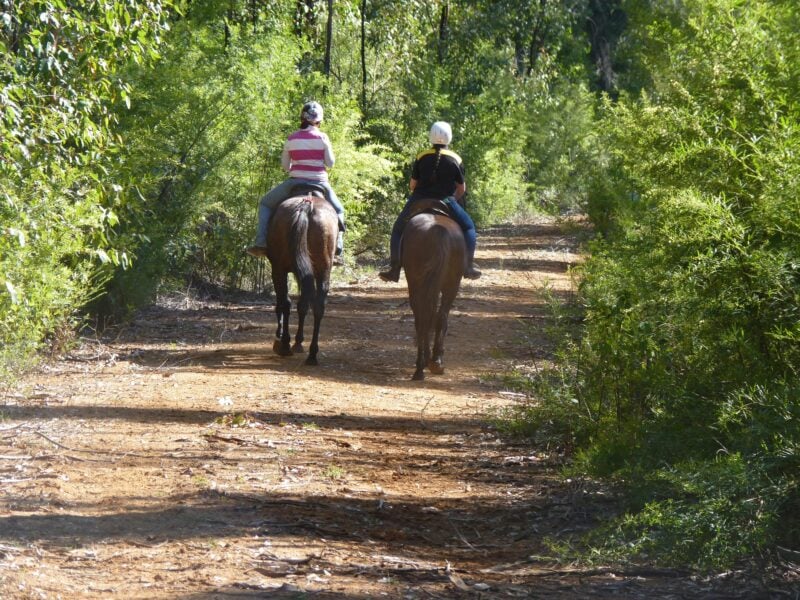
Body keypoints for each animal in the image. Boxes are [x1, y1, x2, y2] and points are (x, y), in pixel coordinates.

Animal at [266, 189, 338, 366]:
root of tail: (307, 205)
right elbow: (303, 304)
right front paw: (298, 342)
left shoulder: (279, 270)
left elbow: (289, 303)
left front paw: (290, 340)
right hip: (323, 269)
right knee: (318, 306)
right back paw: (312, 354)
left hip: (279, 269)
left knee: (286, 302)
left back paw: (286, 344)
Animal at [401, 200, 467, 380]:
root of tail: (438, 231)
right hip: (448, 285)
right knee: (436, 317)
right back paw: (433, 362)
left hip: (419, 283)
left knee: (424, 317)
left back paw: (423, 366)